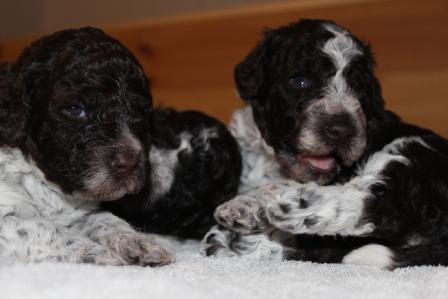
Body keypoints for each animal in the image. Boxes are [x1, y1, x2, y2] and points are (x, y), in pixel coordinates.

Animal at [0, 27, 172, 268]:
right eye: (75, 109)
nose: (129, 163)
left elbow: (103, 218)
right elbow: (43, 228)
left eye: (140, 111)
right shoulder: (7, 220)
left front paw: (137, 242)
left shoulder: (80, 211)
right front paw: (98, 251)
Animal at [202, 19, 448, 270]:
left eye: (359, 88)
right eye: (302, 82)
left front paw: (255, 202)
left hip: (413, 153)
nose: (342, 129)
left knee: (379, 203)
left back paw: (284, 206)